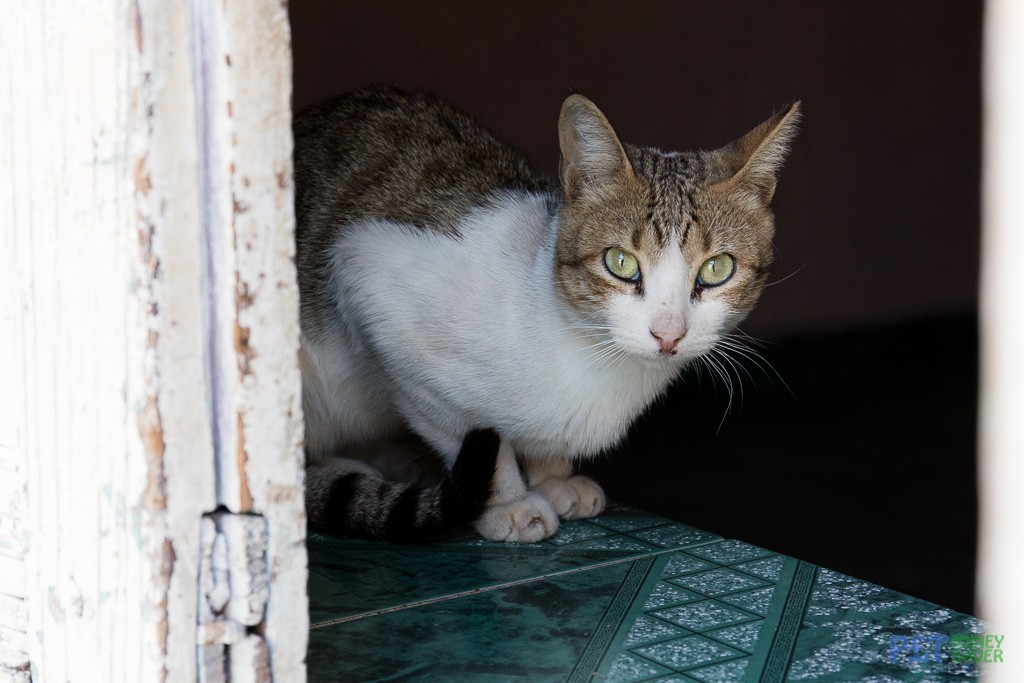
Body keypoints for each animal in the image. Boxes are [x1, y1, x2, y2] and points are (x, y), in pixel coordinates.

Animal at [292, 88, 794, 540]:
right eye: (621, 262)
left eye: (717, 268)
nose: (668, 334)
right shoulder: (368, 280)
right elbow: (469, 434)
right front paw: (508, 502)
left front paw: (554, 475)